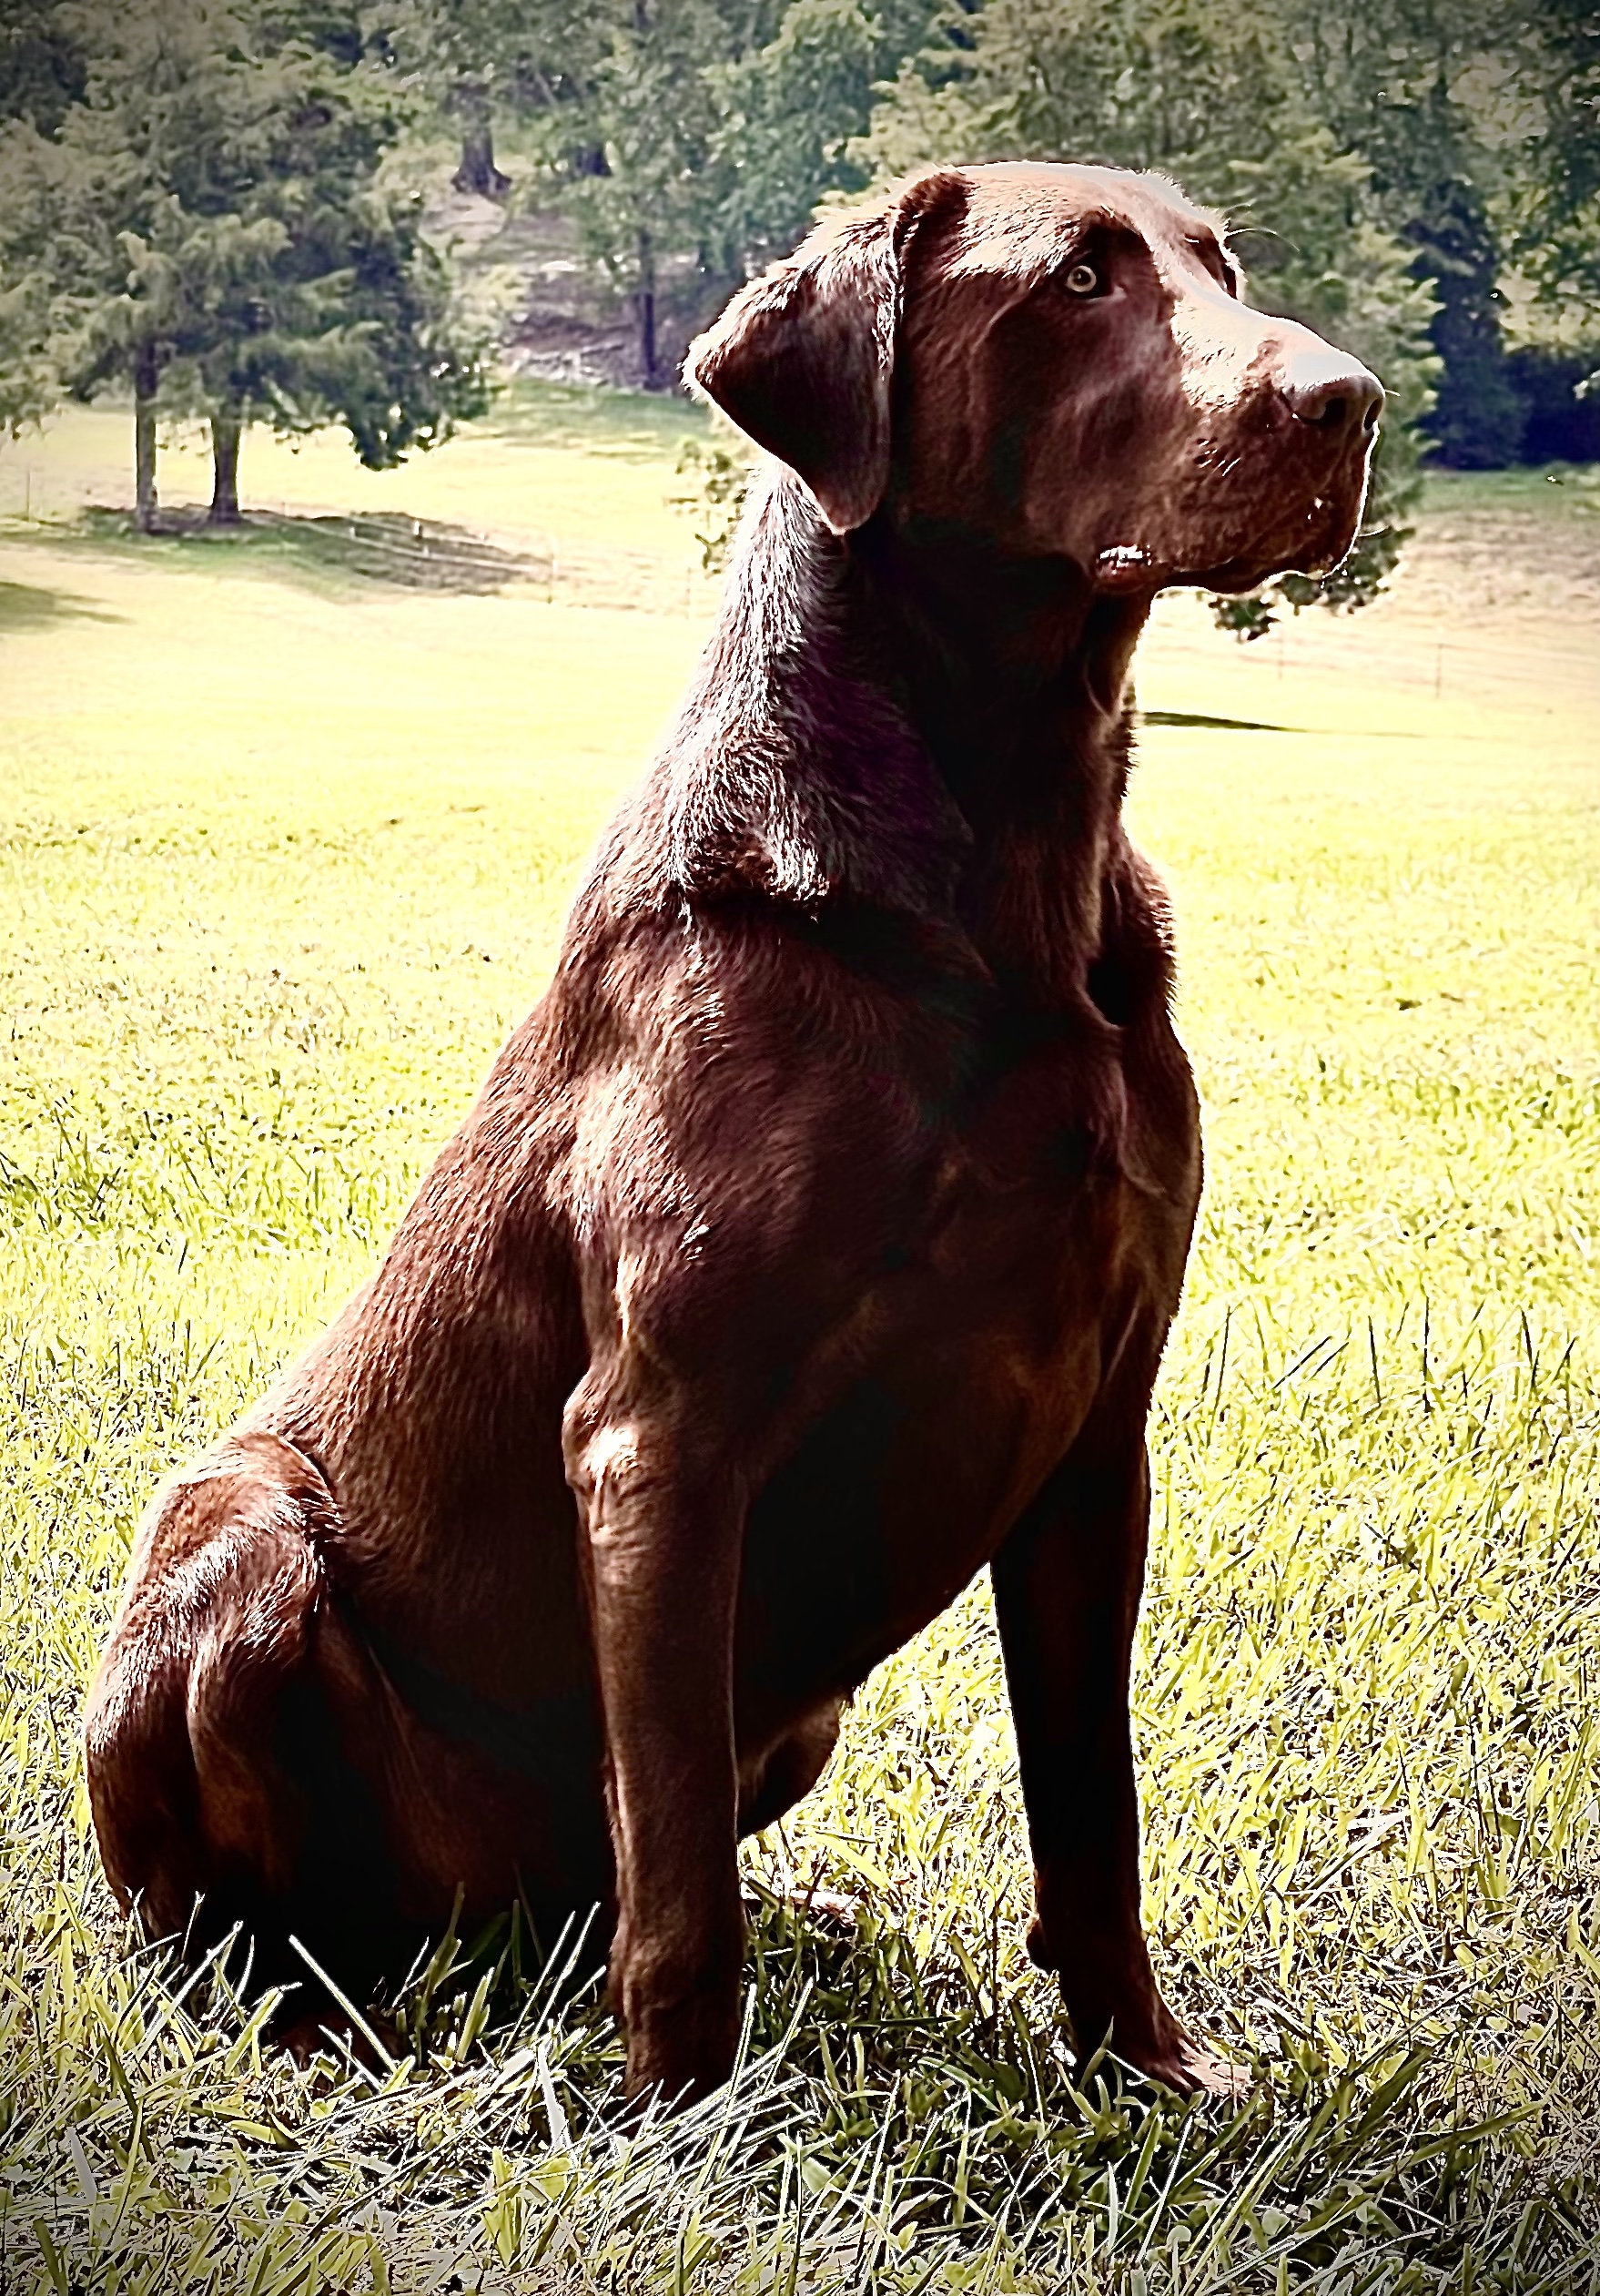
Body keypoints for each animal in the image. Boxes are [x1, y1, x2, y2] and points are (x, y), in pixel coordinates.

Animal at [86, 161, 1377, 2103]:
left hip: (790, 1706)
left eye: (1220, 262)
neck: (1007, 849)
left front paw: (1143, 2067)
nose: (1350, 402)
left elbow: (1091, 1804)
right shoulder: (660, 1433)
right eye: (1076, 279)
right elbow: (681, 1867)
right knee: (242, 1929)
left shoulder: (1098, 1424)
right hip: (232, 1538)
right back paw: (324, 2030)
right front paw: (689, 2116)